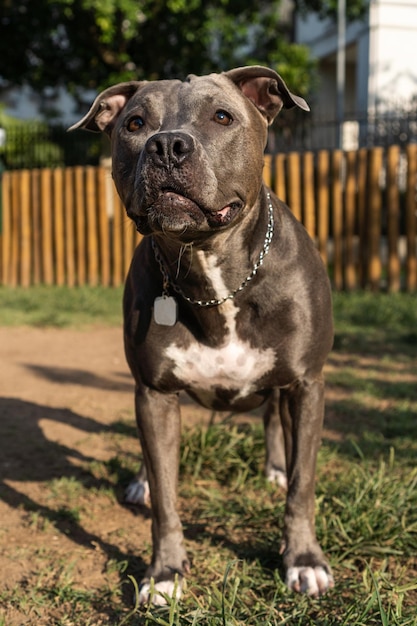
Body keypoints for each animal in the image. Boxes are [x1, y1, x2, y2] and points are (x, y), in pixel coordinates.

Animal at [70, 66, 334, 604]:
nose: (167, 145)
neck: (211, 270)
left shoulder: (307, 383)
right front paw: (165, 572)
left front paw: (303, 560)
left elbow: (303, 486)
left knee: (274, 421)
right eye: (134, 123)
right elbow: (166, 499)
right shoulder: (154, 392)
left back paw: (274, 468)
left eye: (222, 117)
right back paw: (141, 482)